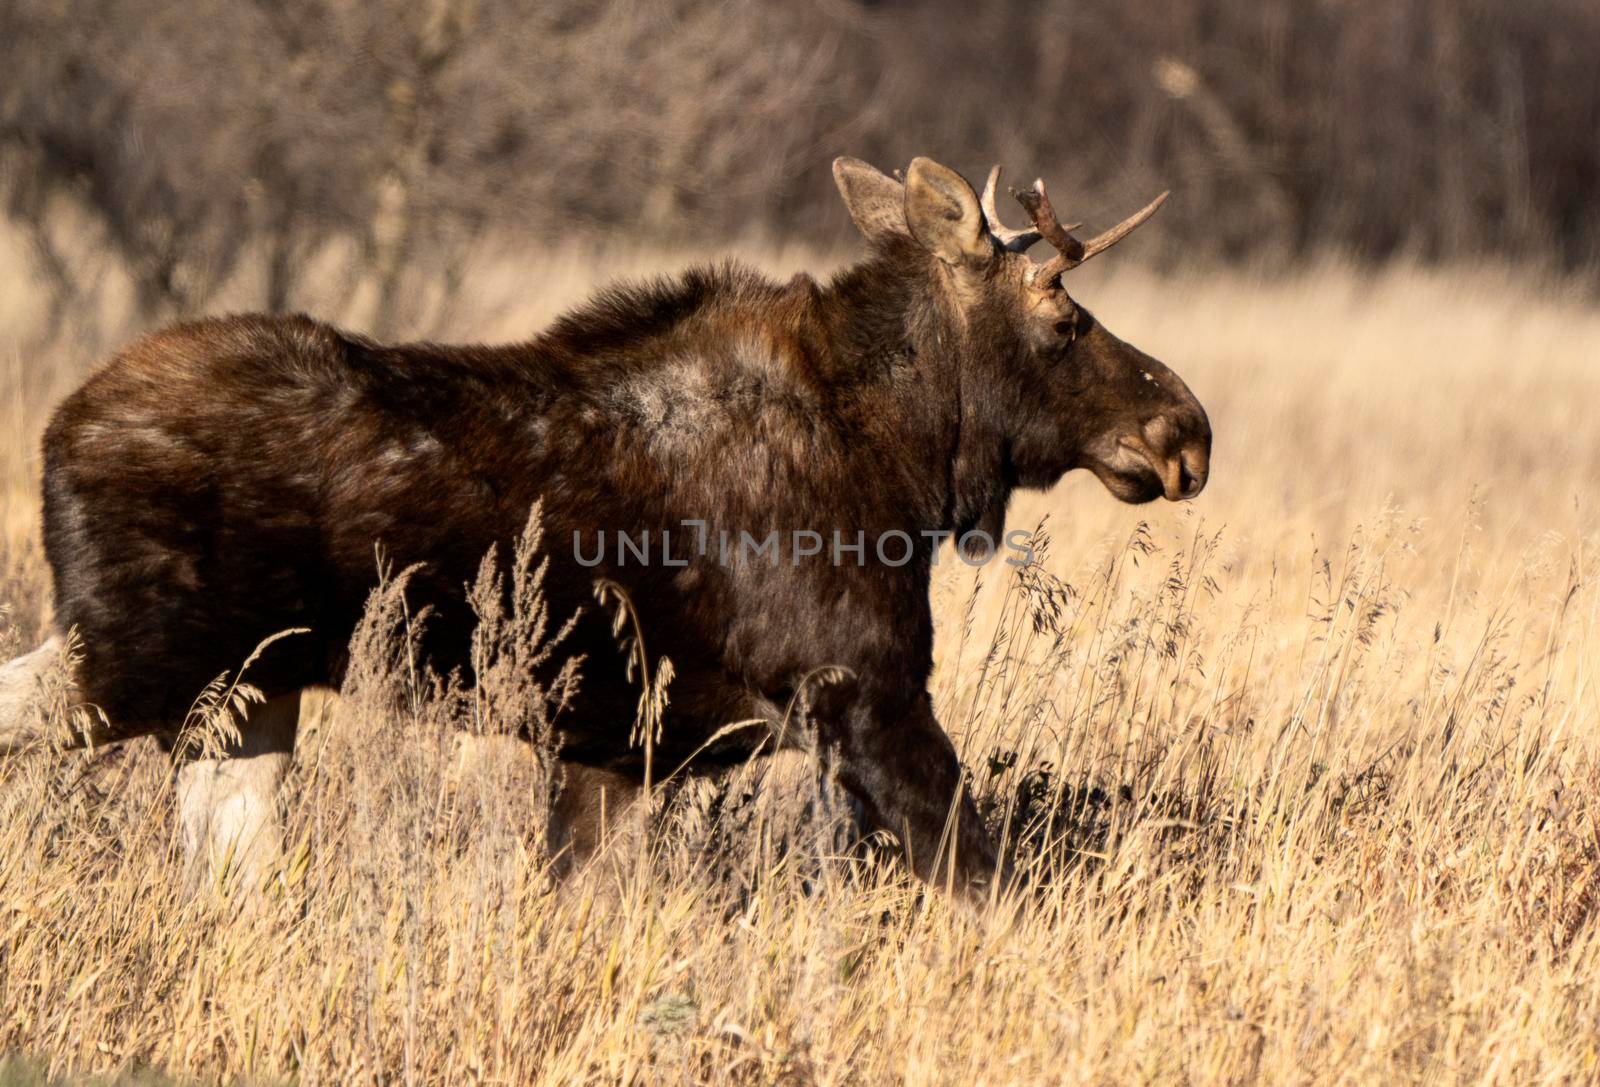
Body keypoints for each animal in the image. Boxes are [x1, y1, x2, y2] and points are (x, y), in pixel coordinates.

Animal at [0, 155, 1203, 902]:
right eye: (1064, 318)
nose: (1184, 427)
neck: (904, 461)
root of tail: (61, 427)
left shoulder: (612, 749)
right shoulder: (866, 692)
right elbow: (985, 881)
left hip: (248, 690)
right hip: (131, 661)